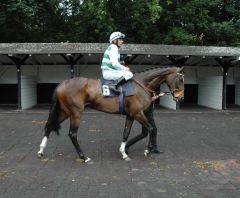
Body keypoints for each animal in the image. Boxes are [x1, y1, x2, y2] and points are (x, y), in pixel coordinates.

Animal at [37, 66, 184, 162]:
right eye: (181, 79)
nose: (180, 98)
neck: (142, 84)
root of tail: (61, 84)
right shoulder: (138, 113)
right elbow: (151, 128)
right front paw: (147, 150)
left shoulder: (132, 114)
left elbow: (127, 133)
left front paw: (124, 151)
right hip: (76, 113)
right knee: (72, 134)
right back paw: (83, 156)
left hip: (65, 112)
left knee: (49, 126)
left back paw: (41, 151)